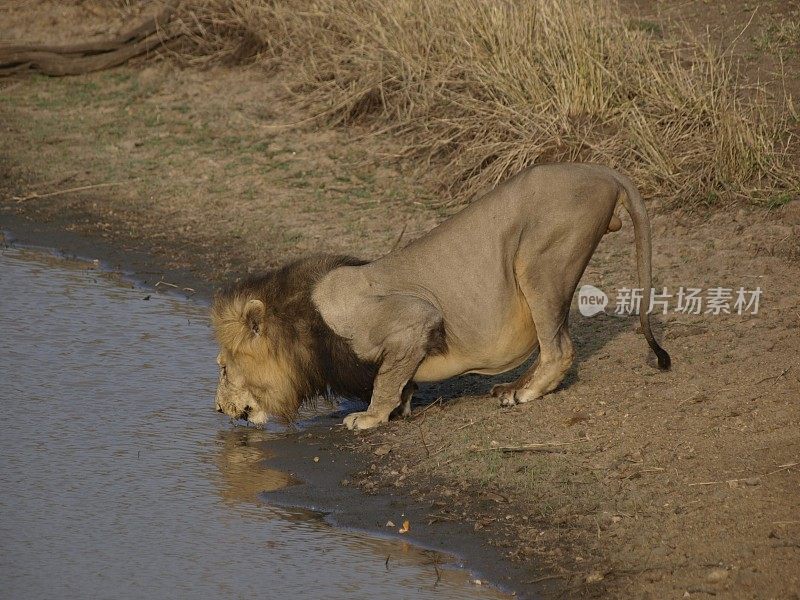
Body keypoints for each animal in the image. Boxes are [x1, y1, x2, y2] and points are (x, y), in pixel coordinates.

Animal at [211, 162, 668, 428]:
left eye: (223, 368)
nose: (217, 409)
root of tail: (605, 171)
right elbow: (398, 379)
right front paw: (400, 406)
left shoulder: (410, 317)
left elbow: (385, 379)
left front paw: (370, 417)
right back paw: (511, 387)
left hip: (539, 261)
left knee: (560, 349)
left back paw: (524, 393)